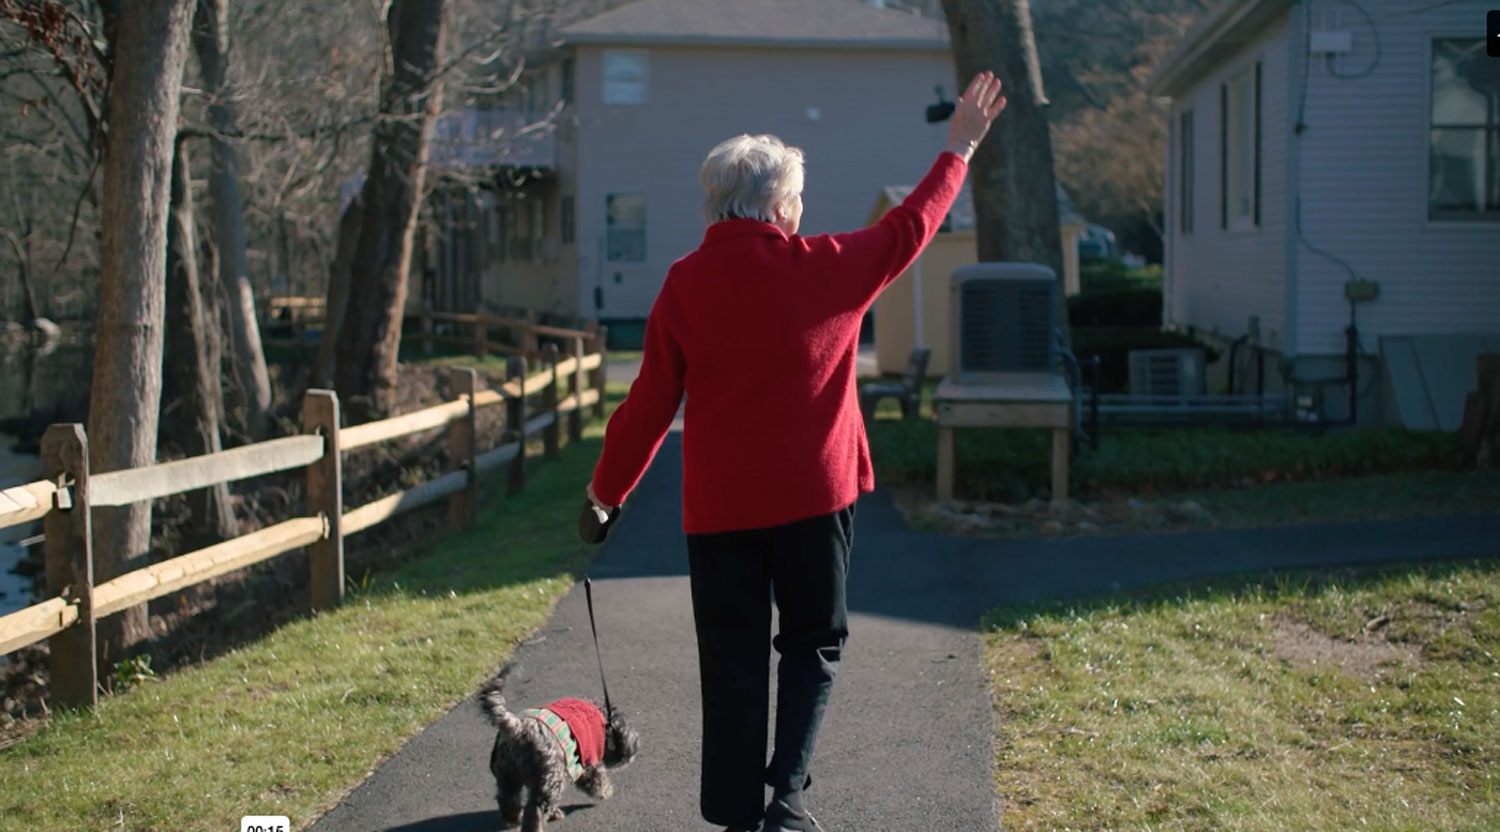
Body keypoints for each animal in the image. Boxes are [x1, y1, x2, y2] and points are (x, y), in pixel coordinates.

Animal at [480, 671, 639, 832]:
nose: (633, 751)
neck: (604, 718)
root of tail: (518, 729)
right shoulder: (587, 759)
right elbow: (596, 779)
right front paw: (606, 791)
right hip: (550, 778)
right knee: (536, 809)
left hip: (508, 775)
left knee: (508, 799)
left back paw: (514, 817)